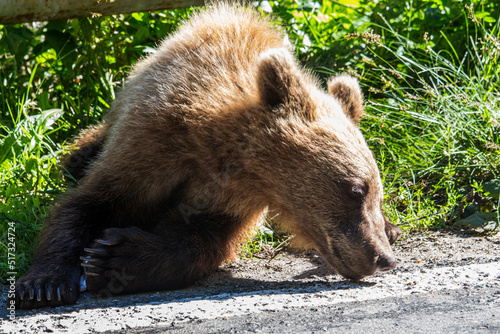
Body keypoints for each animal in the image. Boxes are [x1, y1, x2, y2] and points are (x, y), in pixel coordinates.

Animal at [12, 3, 402, 310]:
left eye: (377, 193)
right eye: (356, 188)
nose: (383, 258)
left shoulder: (233, 200)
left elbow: (205, 243)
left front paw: (115, 257)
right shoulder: (149, 146)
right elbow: (86, 204)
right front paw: (44, 284)